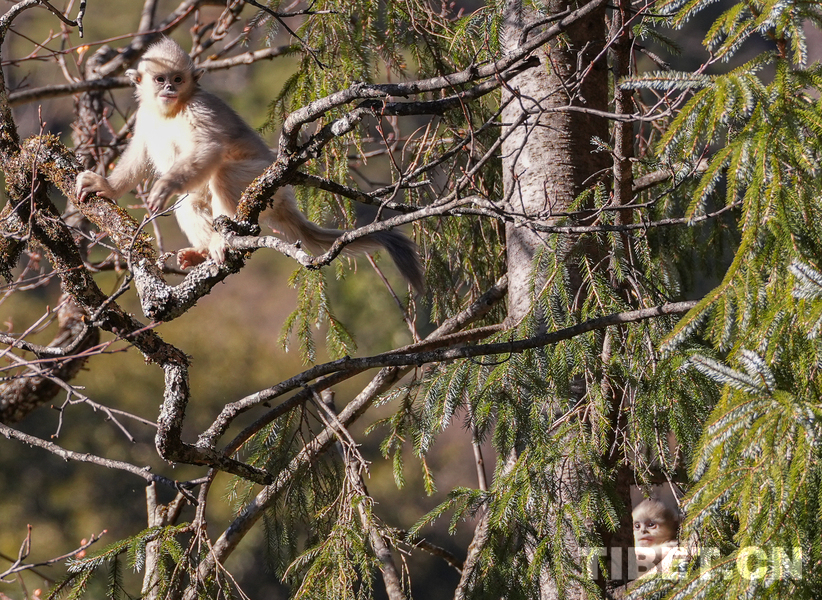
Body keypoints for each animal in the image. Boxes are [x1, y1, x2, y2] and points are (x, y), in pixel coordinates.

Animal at [75, 36, 424, 292]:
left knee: (223, 174)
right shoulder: (145, 115)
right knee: (190, 203)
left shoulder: (200, 107)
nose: (169, 88)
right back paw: (204, 250)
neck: (170, 111)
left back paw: (223, 240)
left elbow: (209, 147)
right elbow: (138, 153)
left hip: (260, 179)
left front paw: (166, 184)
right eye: (160, 79)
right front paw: (106, 186)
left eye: (177, 78)